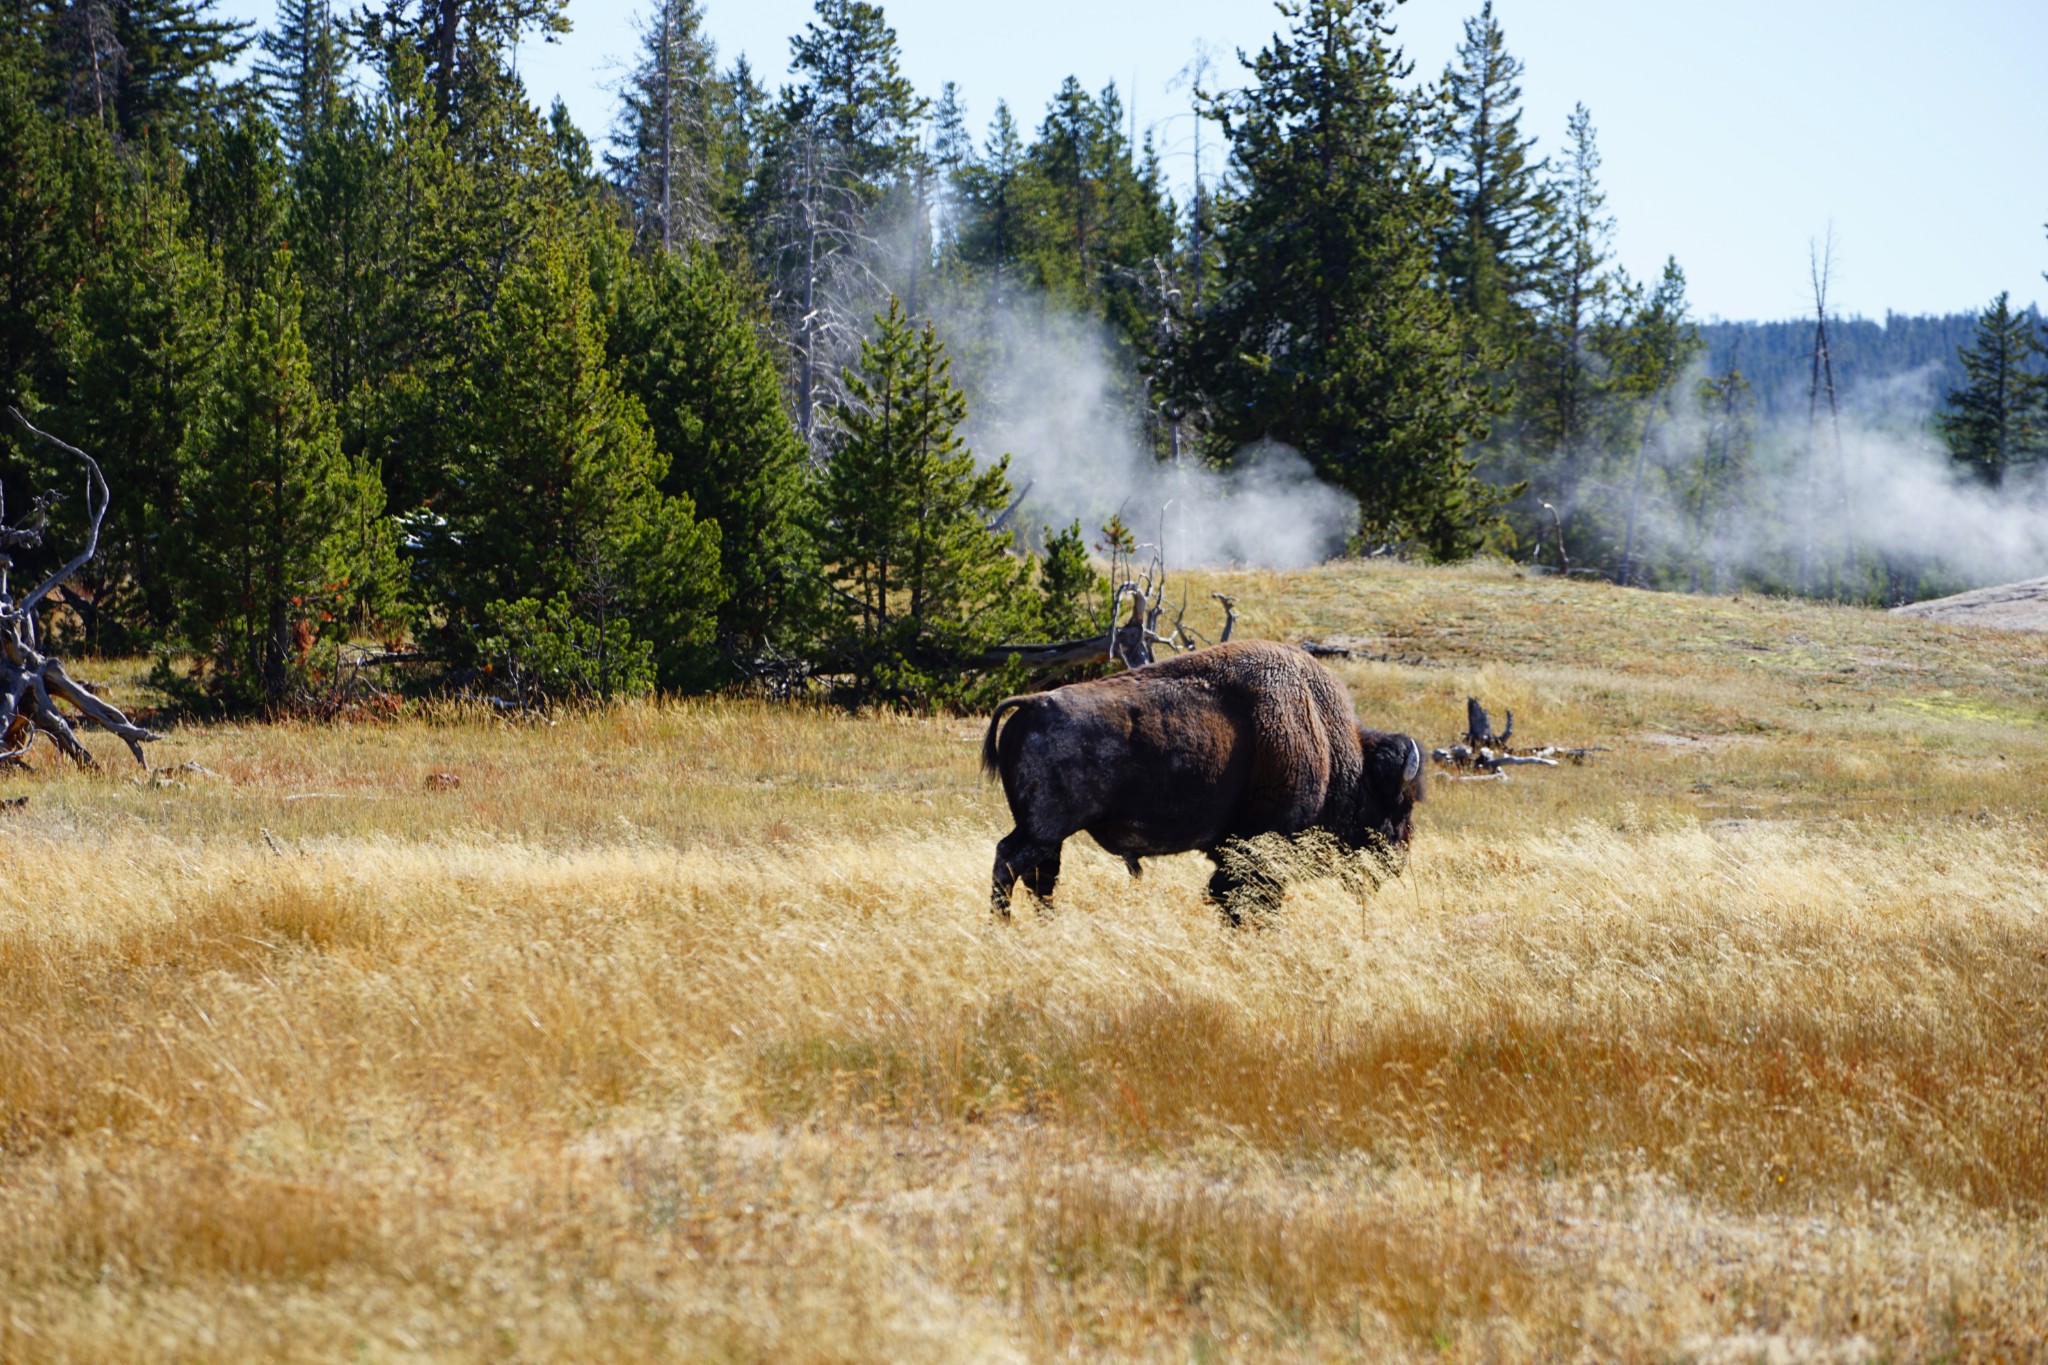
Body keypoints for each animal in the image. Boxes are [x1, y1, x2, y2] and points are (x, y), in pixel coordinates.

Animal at [978, 638, 1425, 916]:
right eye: (1399, 805)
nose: (1397, 862)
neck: (1330, 744)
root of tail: (1031, 704)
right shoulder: (1260, 847)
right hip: (1043, 830)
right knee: (1009, 863)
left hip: (1049, 836)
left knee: (1040, 880)